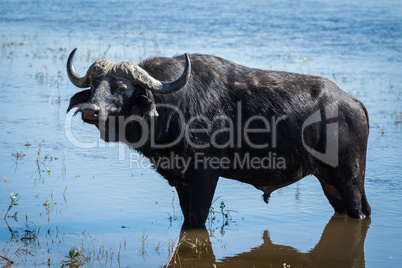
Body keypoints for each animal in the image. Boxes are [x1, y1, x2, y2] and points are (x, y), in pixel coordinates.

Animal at [66, 48, 370, 228]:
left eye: (120, 87)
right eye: (94, 86)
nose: (90, 110)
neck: (175, 107)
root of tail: (353, 103)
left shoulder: (205, 175)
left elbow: (198, 217)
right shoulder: (182, 180)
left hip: (349, 179)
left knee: (360, 210)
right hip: (331, 183)